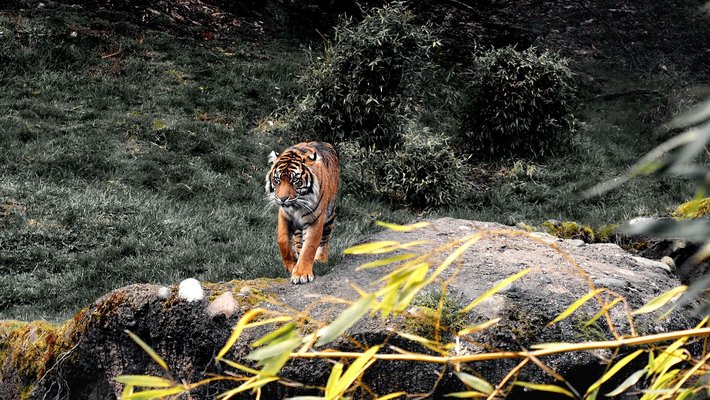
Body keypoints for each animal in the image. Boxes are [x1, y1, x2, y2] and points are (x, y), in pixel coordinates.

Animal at [265, 142, 340, 284]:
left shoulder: (316, 219)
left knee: (324, 240)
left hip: (329, 216)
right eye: (277, 180)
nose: (282, 199)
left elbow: (309, 247)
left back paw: (321, 259)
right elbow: (282, 240)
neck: (296, 206)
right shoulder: (284, 215)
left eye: (295, 181)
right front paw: (292, 265)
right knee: (299, 240)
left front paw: (301, 274)